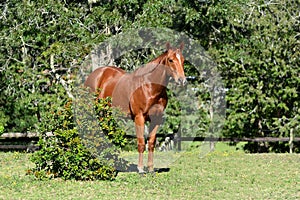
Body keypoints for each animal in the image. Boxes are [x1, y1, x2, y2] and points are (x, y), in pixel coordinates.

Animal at [84, 42, 186, 173]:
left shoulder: (156, 119)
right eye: (171, 60)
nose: (182, 80)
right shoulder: (139, 117)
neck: (150, 86)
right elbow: (141, 143)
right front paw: (141, 169)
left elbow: (151, 143)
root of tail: (95, 75)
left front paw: (151, 169)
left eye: (183, 60)